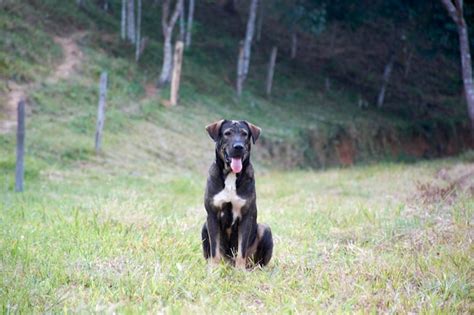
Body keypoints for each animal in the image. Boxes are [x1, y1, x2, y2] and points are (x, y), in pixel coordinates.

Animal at [201, 120, 274, 270]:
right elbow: (214, 248)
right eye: (227, 133)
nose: (238, 146)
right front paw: (214, 268)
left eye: (244, 134)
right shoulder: (212, 215)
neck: (231, 175)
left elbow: (242, 249)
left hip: (265, 230)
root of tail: (229, 262)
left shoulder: (246, 216)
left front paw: (240, 270)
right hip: (204, 226)